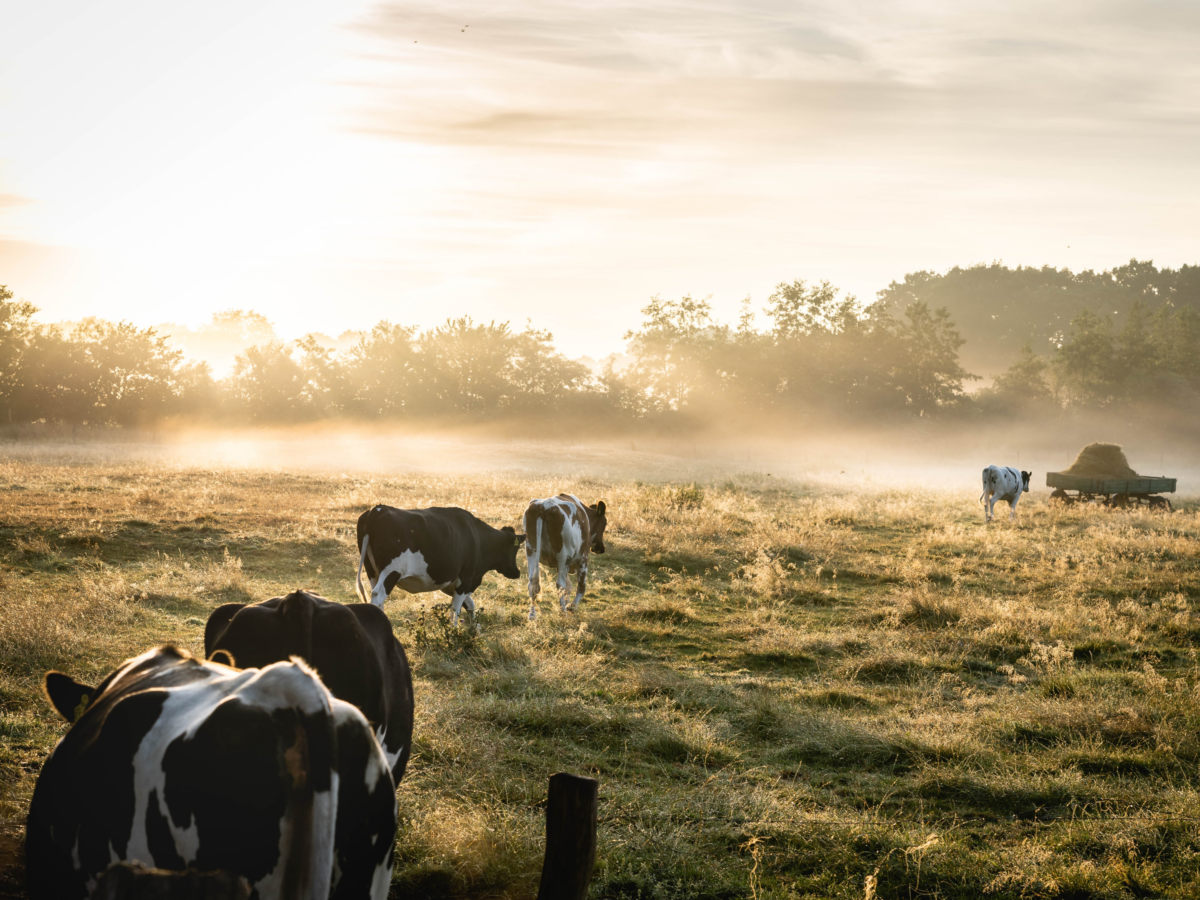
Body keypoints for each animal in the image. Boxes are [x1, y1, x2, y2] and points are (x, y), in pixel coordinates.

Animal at [355, 508, 525, 628]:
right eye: (515, 548)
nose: (517, 573)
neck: (477, 537)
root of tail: (377, 509)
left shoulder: (451, 584)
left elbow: (469, 604)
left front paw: (474, 629)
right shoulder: (466, 579)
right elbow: (456, 609)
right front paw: (454, 633)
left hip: (373, 572)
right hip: (391, 572)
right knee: (377, 595)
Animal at [523, 496, 609, 624]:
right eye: (605, 523)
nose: (601, 548)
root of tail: (544, 506)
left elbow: (569, 587)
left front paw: (568, 604)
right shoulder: (582, 559)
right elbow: (580, 587)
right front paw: (571, 606)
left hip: (531, 550)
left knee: (533, 583)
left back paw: (532, 615)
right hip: (563, 555)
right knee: (560, 585)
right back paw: (563, 612)